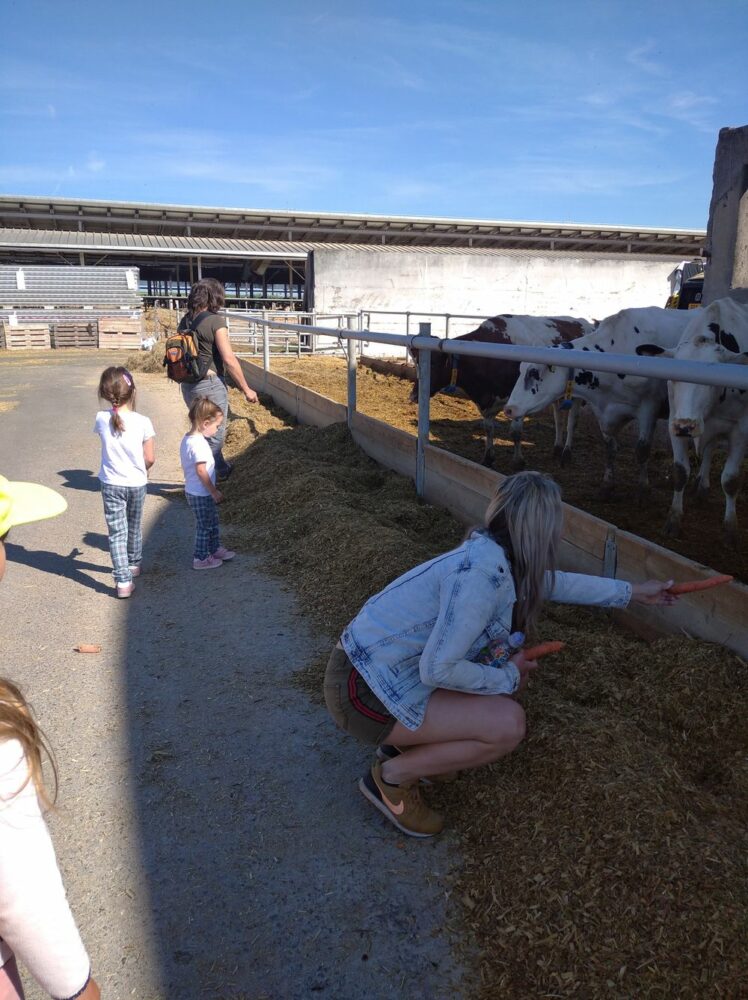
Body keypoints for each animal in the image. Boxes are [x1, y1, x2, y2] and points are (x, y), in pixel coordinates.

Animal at [500, 302, 692, 494]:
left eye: (534, 372)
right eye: (520, 370)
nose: (508, 409)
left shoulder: (649, 408)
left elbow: (642, 450)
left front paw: (643, 486)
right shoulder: (602, 410)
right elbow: (610, 447)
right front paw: (608, 483)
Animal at [636, 296, 748, 544]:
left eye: (713, 377)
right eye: (674, 376)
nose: (687, 425)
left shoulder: (741, 430)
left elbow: (730, 480)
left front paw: (731, 529)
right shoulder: (674, 422)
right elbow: (680, 472)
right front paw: (674, 520)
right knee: (709, 449)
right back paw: (702, 485)